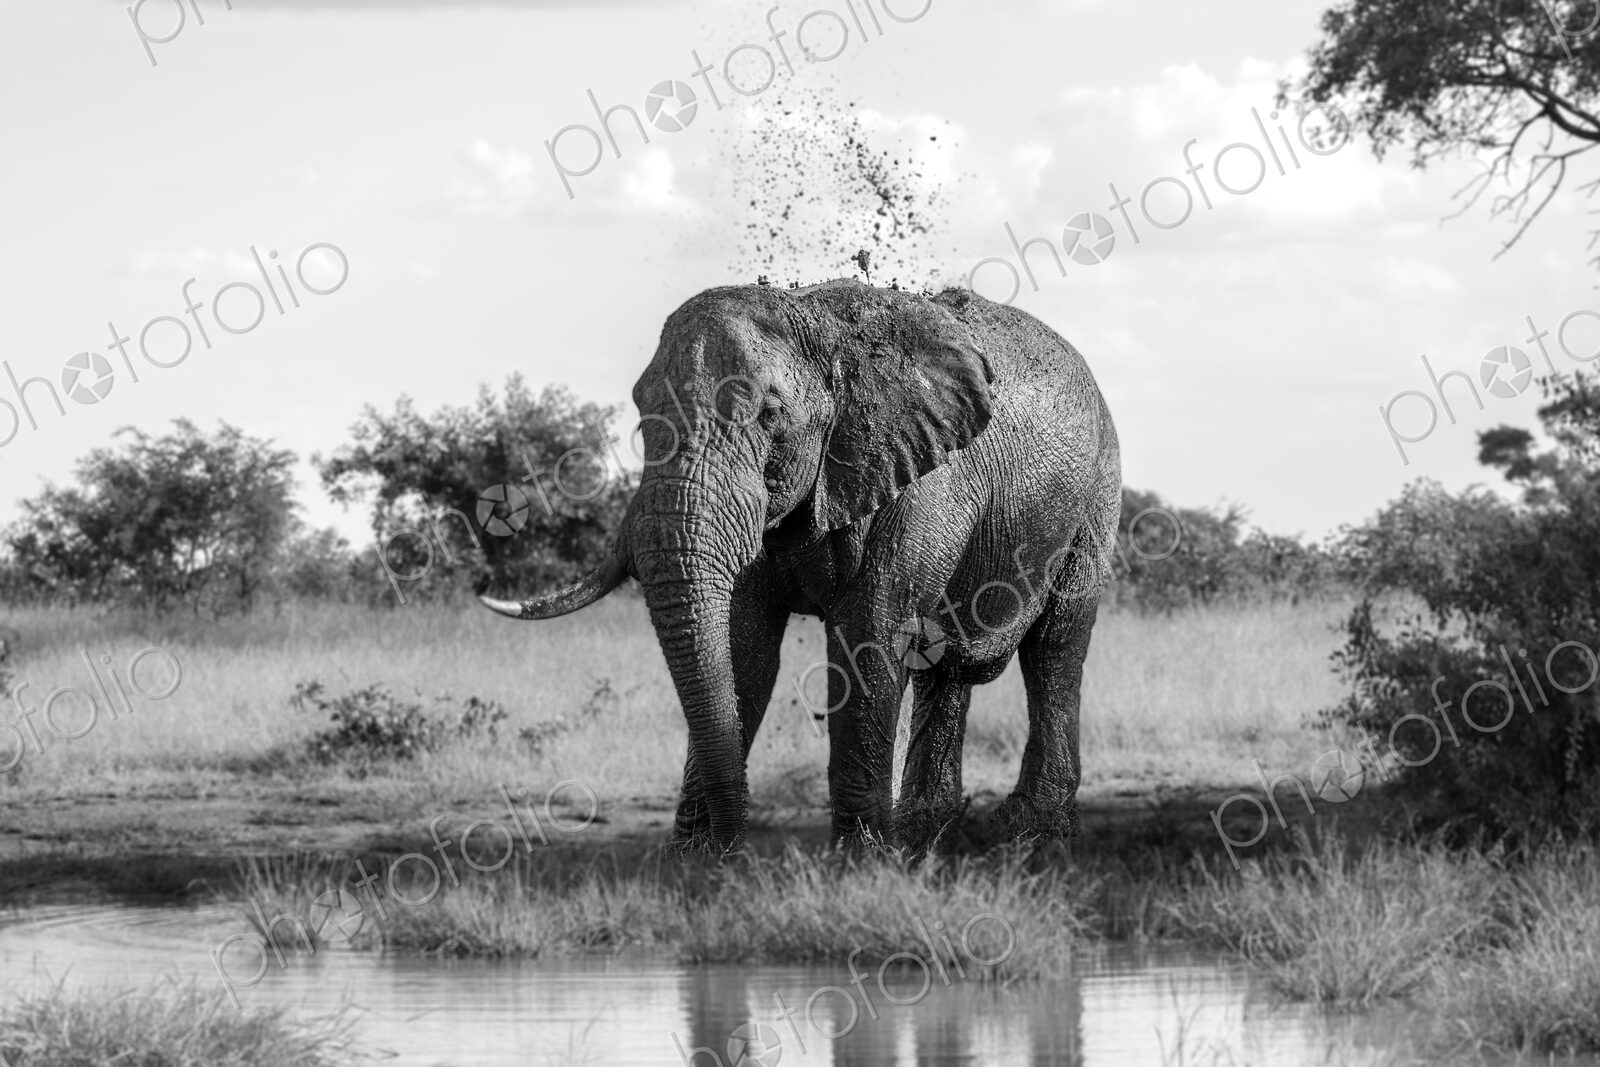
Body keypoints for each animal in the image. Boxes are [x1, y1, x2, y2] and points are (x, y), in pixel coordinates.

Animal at [481, 278, 1122, 853]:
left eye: (769, 414)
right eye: (640, 411)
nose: (736, 850)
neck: (814, 318)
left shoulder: (919, 484)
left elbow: (869, 638)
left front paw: (861, 865)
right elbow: (743, 651)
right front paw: (694, 865)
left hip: (1098, 492)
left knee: (1056, 648)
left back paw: (1032, 833)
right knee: (943, 664)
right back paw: (923, 835)